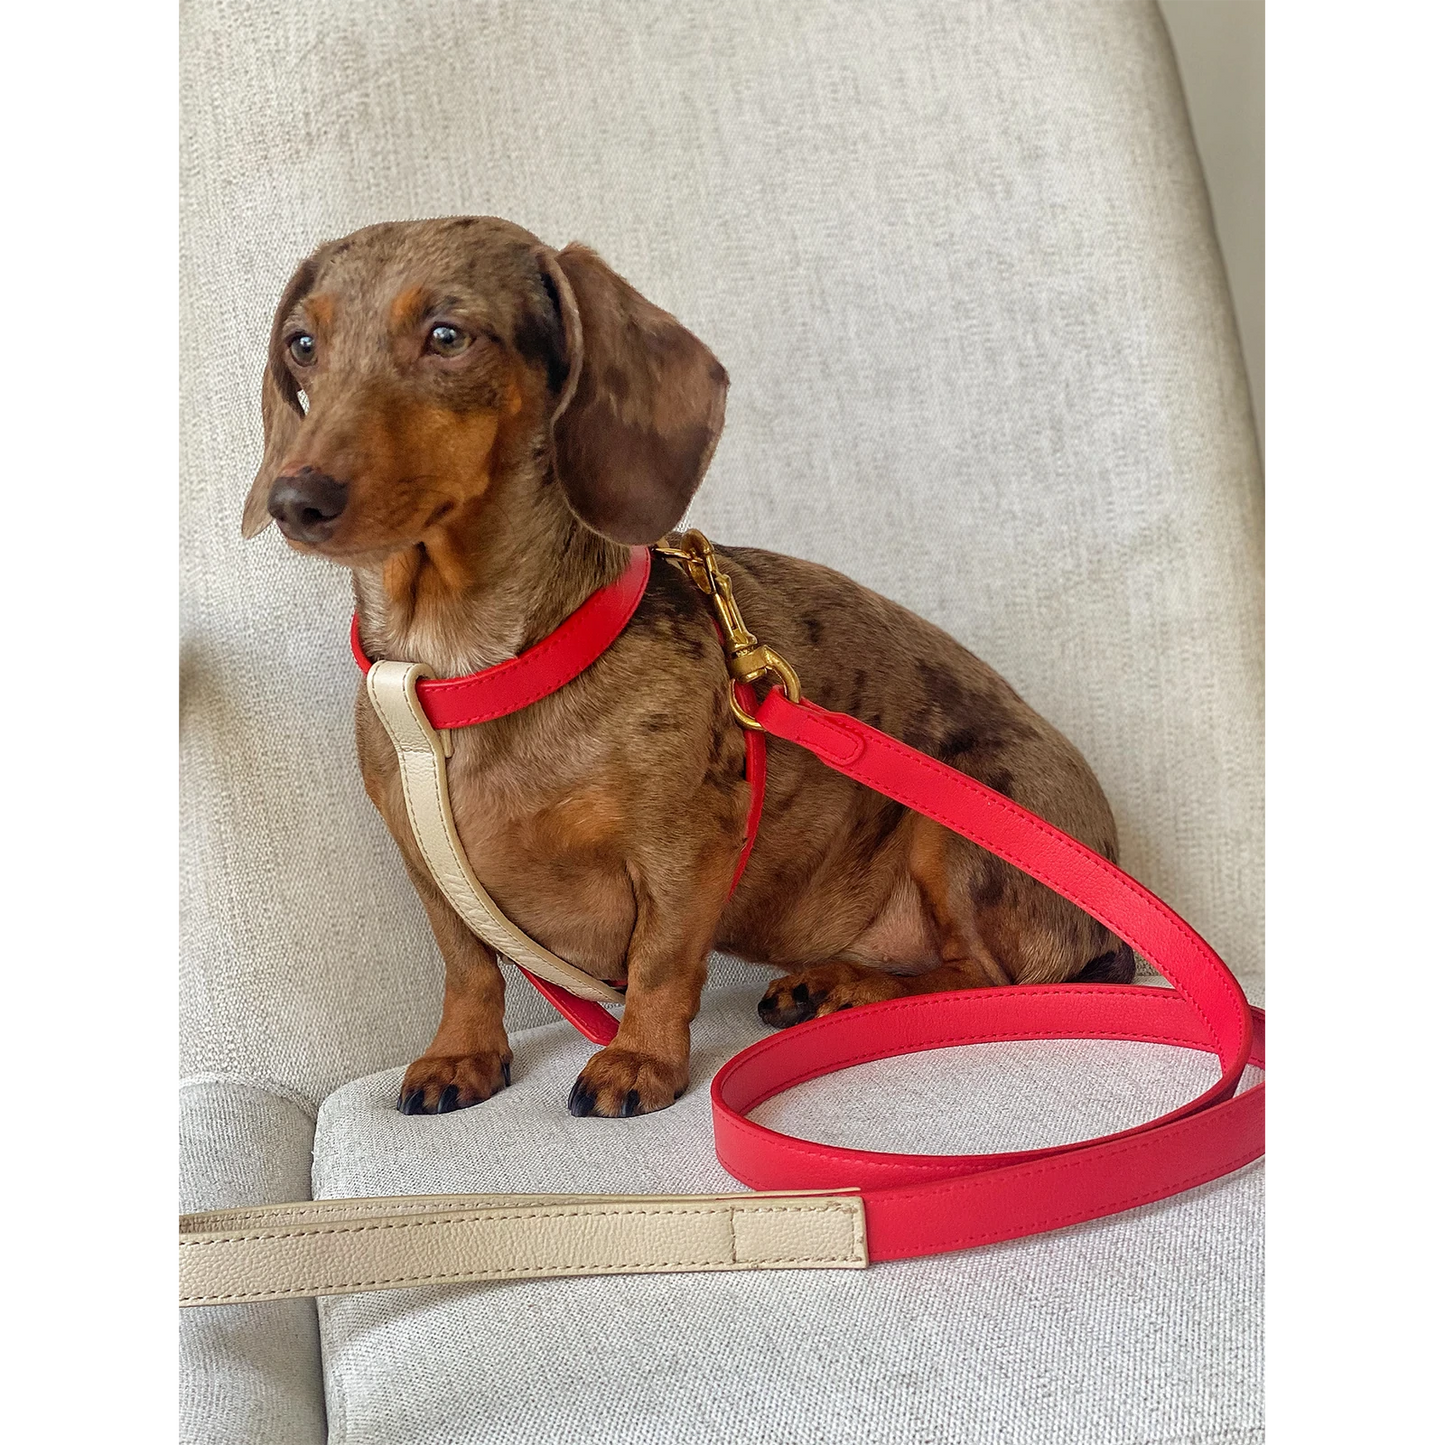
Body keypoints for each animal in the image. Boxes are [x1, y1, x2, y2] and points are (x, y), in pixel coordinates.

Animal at [245, 216, 1127, 1115]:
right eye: (302, 345)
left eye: (447, 336)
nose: (294, 501)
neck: (462, 666)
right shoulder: (429, 870)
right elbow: (467, 967)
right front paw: (461, 1052)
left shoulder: (682, 850)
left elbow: (660, 962)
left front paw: (639, 1057)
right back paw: (833, 980)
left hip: (955, 821)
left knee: (985, 975)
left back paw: (851, 987)